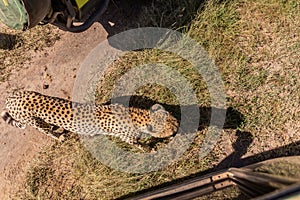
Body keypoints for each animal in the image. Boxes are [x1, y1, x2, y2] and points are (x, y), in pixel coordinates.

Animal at [1, 90, 178, 145]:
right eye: (169, 127)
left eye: (171, 117)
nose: (177, 126)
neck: (137, 116)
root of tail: (10, 98)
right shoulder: (127, 138)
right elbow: (143, 146)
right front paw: (155, 147)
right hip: (35, 122)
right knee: (46, 131)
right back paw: (58, 136)